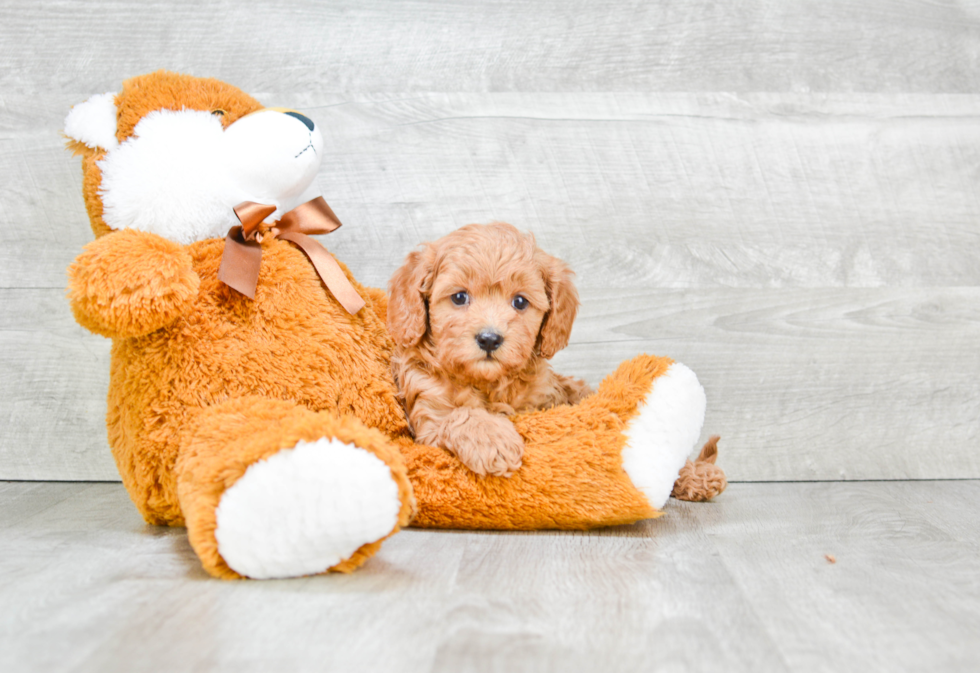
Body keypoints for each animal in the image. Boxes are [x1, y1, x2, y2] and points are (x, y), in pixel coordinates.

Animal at [388, 223, 588, 476]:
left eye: (520, 302)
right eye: (459, 297)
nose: (489, 339)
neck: (486, 382)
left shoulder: (542, 402)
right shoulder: (427, 420)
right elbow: (460, 414)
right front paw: (493, 439)